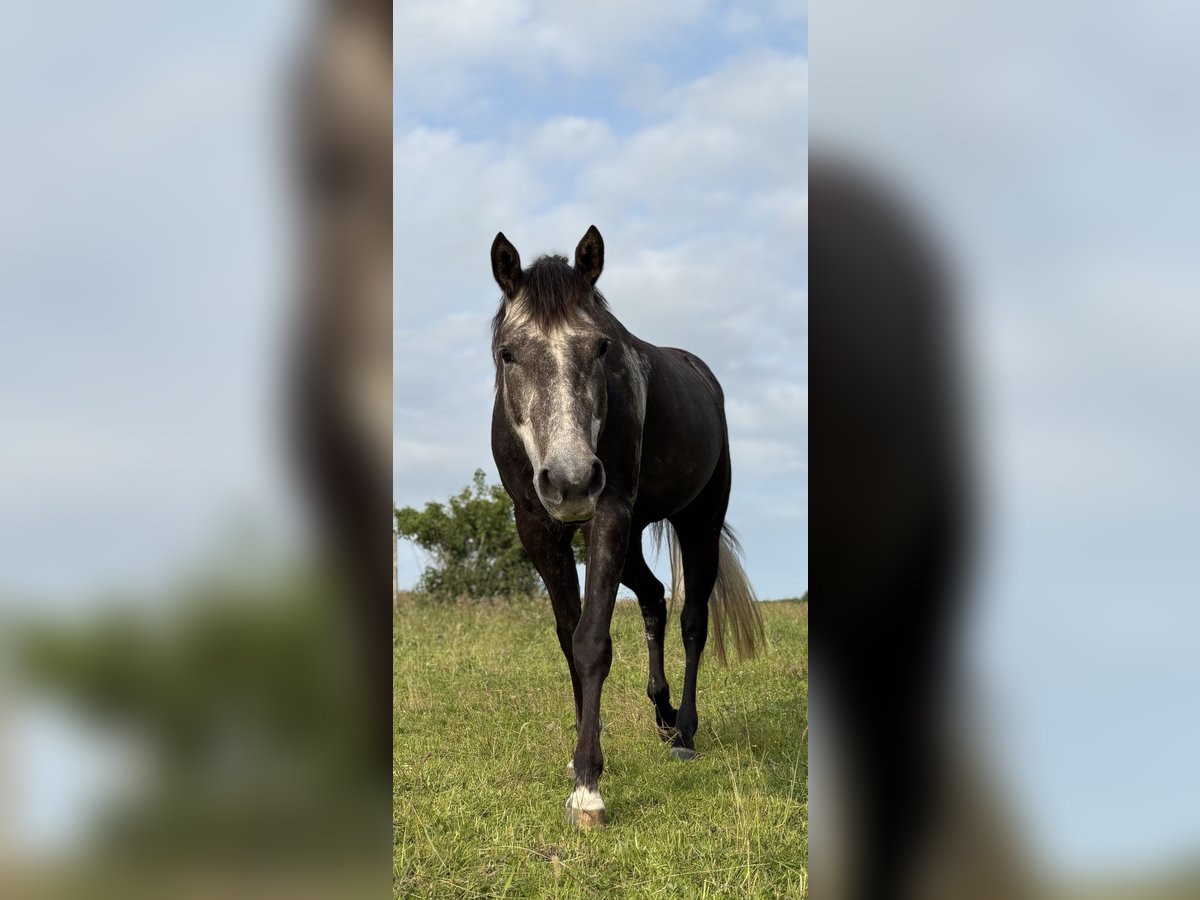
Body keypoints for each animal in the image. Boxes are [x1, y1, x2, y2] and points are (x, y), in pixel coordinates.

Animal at [488, 226, 765, 827]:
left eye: (600, 347)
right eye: (507, 352)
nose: (571, 481)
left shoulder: (609, 512)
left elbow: (592, 641)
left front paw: (588, 788)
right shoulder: (538, 528)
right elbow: (568, 639)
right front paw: (579, 759)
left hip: (698, 521)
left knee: (691, 620)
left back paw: (683, 733)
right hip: (628, 538)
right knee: (655, 596)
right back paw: (662, 712)